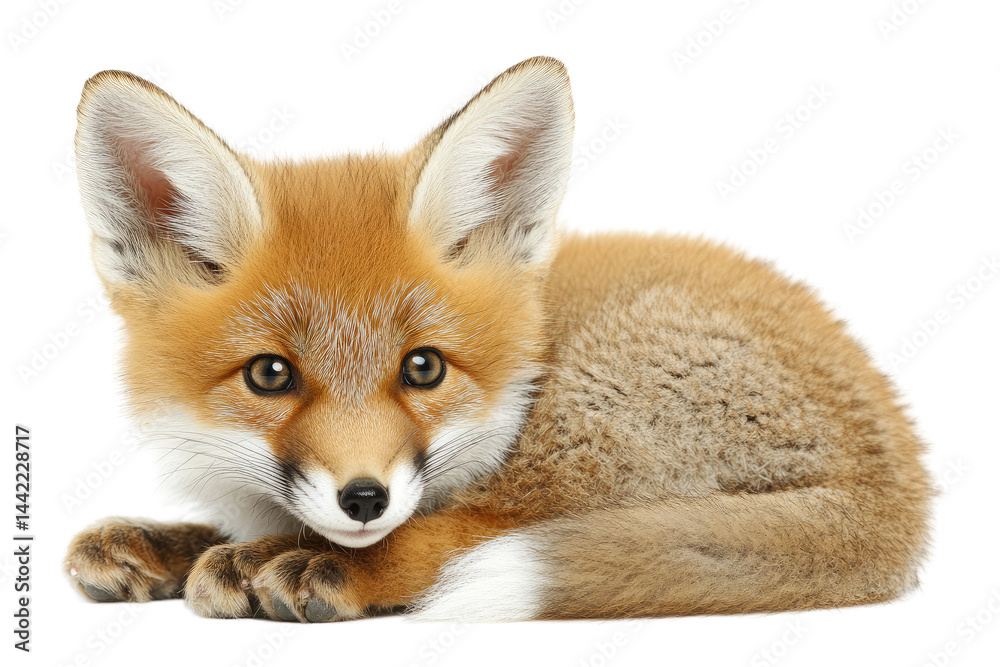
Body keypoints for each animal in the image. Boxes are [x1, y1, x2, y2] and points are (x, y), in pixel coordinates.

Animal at [65, 56, 932, 622]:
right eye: (270, 375)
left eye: (423, 366)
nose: (364, 498)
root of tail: (903, 481)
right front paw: (167, 543)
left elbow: (422, 529)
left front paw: (266, 554)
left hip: (584, 421)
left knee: (476, 533)